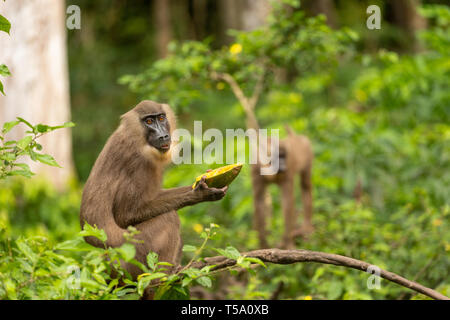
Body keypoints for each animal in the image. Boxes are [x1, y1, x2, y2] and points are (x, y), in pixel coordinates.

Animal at [80, 100, 229, 282]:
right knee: (169, 218)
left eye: (161, 118)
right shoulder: (141, 162)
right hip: (135, 256)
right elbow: (125, 215)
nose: (163, 135)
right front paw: (200, 193)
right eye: (149, 121)